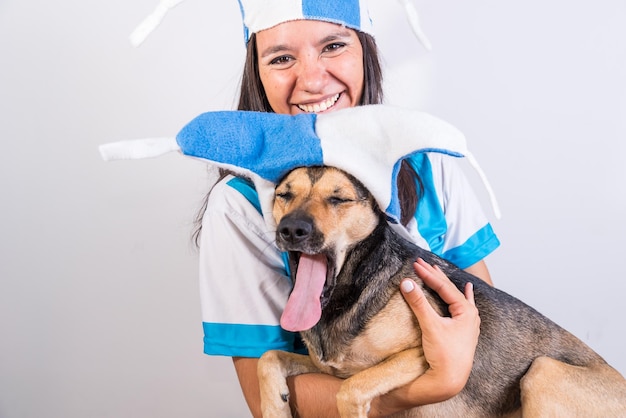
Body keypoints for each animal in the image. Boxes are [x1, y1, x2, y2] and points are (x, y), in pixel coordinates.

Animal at [256, 167, 624, 418]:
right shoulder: (327, 368)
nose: (292, 229)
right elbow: (269, 357)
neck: (349, 291)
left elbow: (350, 390)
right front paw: (275, 407)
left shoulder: (425, 352)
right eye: (284, 195)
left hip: (543, 372)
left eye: (338, 199)